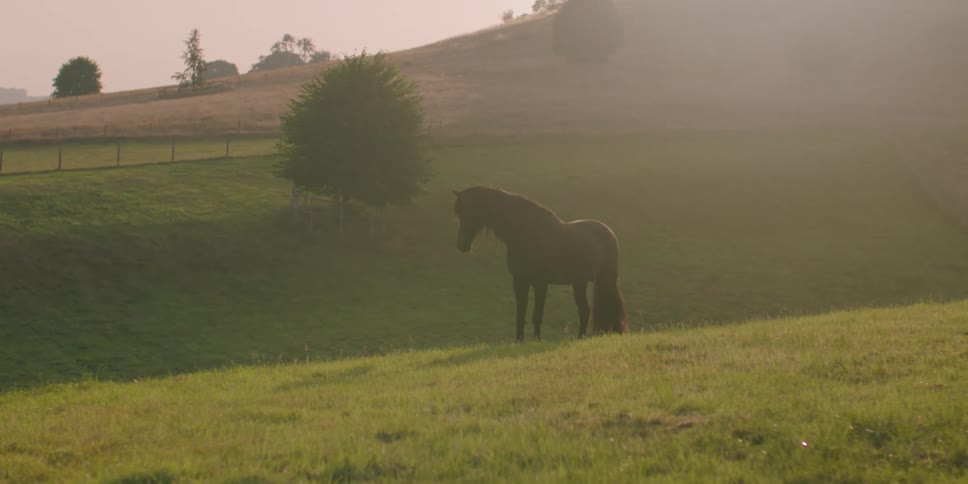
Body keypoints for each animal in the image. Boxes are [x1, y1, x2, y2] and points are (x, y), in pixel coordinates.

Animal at [452, 186, 628, 341]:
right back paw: (580, 339)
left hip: (604, 280)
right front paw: (519, 341)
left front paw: (536, 340)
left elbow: (537, 315)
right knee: (584, 310)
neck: (527, 232)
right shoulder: (520, 281)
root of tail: (609, 233)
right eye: (458, 214)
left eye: (469, 212)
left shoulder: (540, 283)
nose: (461, 245)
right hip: (579, 282)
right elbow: (520, 314)